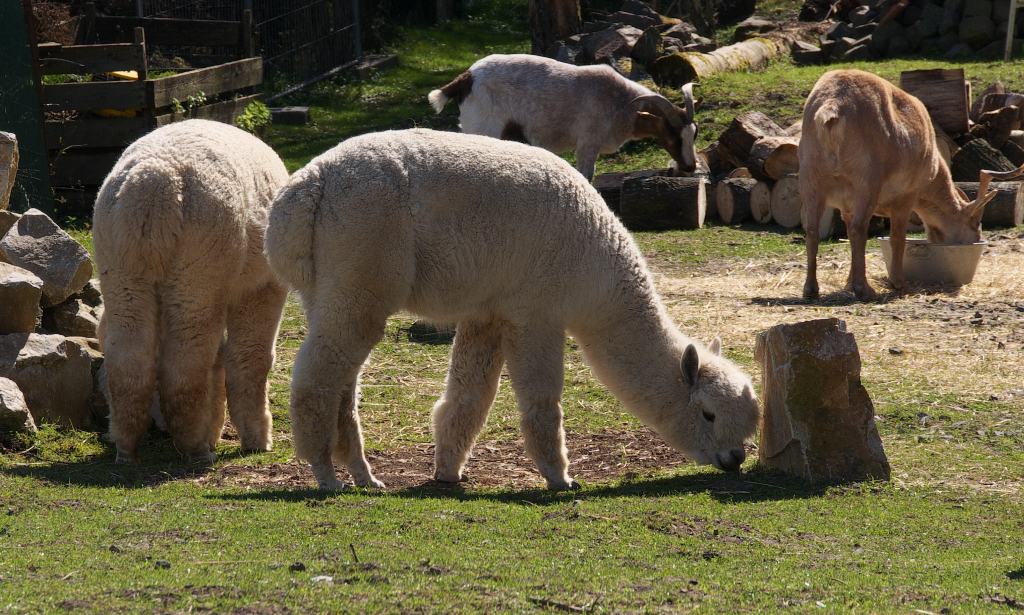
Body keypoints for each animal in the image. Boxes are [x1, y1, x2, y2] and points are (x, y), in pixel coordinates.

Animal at [423, 53, 696, 180]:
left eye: (693, 135)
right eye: (673, 134)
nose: (690, 167)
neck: (622, 102)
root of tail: (465, 79)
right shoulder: (588, 143)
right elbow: (586, 177)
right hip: (483, 130)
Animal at [798, 69, 1024, 298]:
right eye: (976, 222)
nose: (977, 238)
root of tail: (832, 109)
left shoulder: (846, 206)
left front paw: (848, 283)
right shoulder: (908, 194)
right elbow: (898, 236)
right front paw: (899, 284)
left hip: (809, 176)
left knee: (812, 229)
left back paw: (811, 289)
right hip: (867, 180)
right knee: (858, 228)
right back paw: (865, 290)